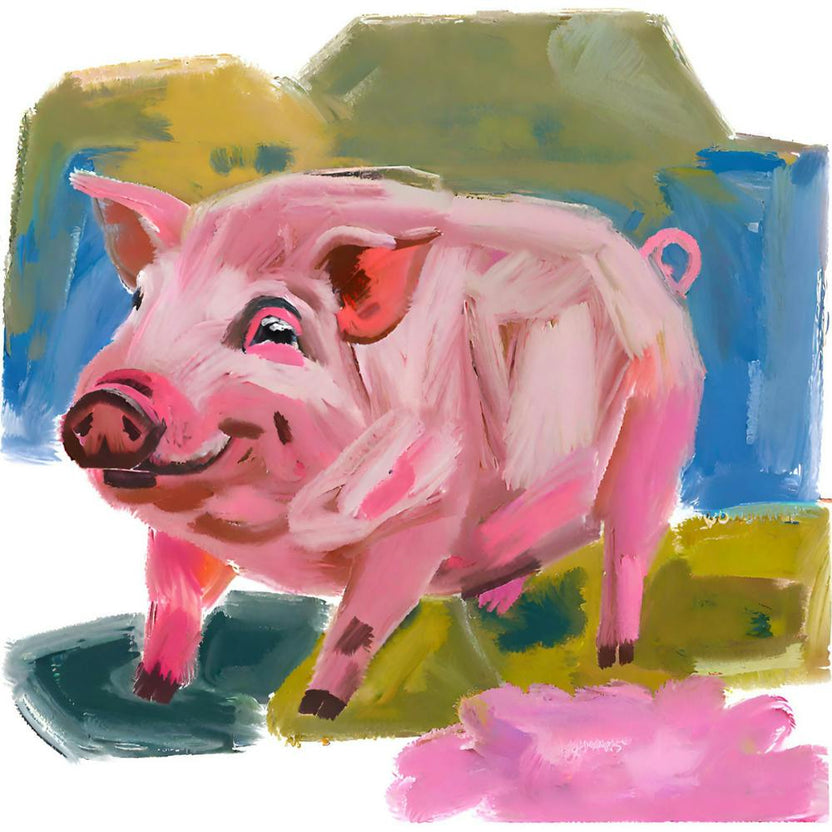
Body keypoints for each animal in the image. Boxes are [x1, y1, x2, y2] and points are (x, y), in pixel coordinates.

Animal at [62, 167, 704, 719]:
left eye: (275, 329)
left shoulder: (428, 508)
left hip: (656, 437)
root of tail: (651, 266)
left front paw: (317, 711)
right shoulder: (178, 529)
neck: (276, 531)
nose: (111, 401)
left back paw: (614, 657)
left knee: (626, 550)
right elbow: (173, 597)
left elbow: (360, 624)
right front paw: (150, 691)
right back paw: (491, 603)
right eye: (140, 301)